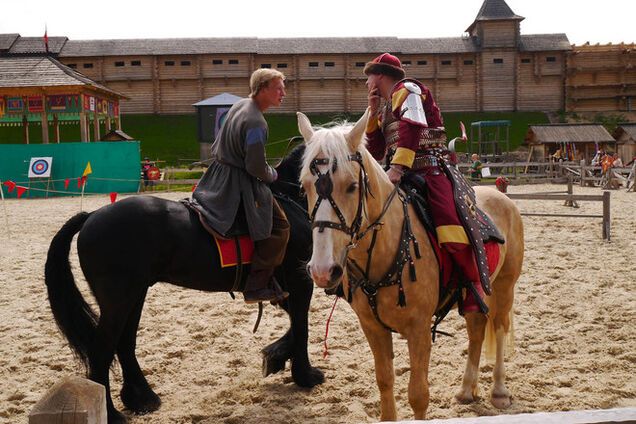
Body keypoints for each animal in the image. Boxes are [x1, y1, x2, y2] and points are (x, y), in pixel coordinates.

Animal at [46, 145, 322, 420]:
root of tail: (91, 216)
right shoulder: (299, 282)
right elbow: (302, 326)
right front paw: (305, 376)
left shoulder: (282, 289)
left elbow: (295, 324)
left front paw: (276, 356)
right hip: (118, 301)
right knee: (102, 349)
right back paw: (112, 414)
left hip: (134, 295)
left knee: (125, 343)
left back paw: (142, 398)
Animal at [300, 110, 524, 420]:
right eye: (304, 186)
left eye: (352, 186)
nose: (323, 271)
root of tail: (503, 198)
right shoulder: (373, 328)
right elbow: (384, 381)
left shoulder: (419, 330)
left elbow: (418, 394)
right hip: (474, 292)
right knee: (477, 329)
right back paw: (467, 389)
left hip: (504, 286)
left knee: (500, 328)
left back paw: (499, 391)